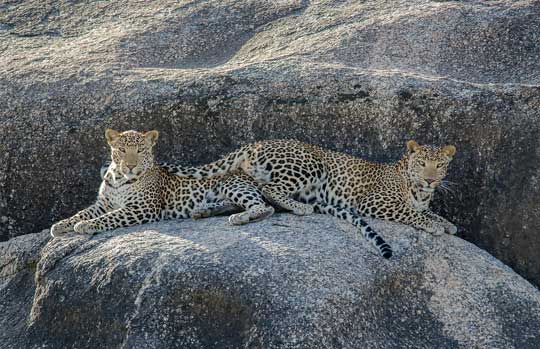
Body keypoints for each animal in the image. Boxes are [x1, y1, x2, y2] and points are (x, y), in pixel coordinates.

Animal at [49, 129, 276, 238]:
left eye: (140, 150)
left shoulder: (142, 208)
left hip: (233, 185)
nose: (130, 166)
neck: (119, 178)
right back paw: (203, 211)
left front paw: (87, 225)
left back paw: (241, 217)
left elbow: (110, 217)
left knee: (264, 207)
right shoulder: (103, 204)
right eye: (122, 150)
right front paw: (61, 225)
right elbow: (82, 212)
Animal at [162, 139, 458, 258]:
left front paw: (448, 224)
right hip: (310, 166)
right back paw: (300, 207)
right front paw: (434, 225)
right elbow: (412, 213)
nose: (430, 179)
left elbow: (429, 211)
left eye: (440, 165)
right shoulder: (375, 202)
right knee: (269, 190)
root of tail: (257, 142)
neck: (418, 189)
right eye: (421, 163)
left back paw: (210, 212)